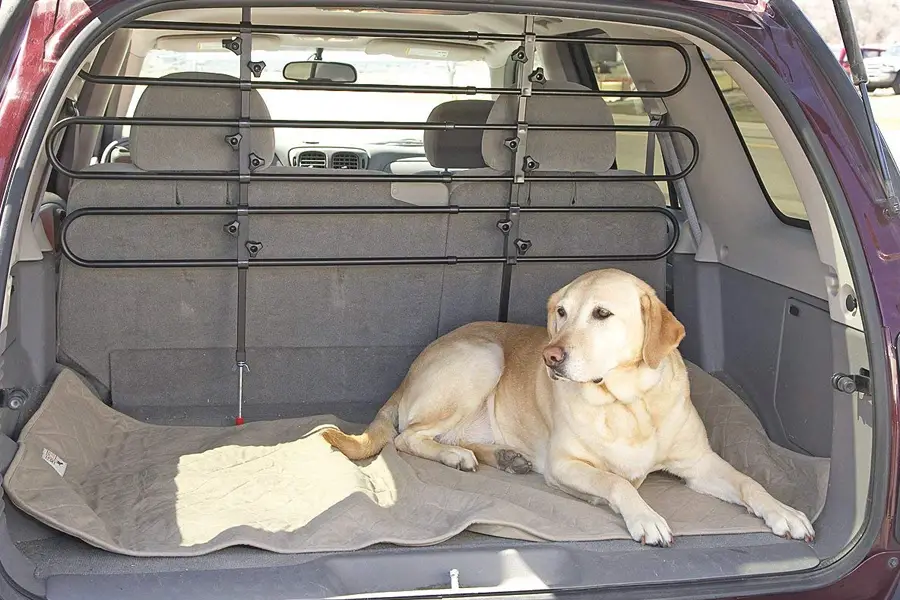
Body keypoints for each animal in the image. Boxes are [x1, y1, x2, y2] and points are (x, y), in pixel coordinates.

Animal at [326, 270, 816, 548]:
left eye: (602, 314)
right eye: (560, 312)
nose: (550, 356)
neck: (628, 403)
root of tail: (410, 371)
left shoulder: (700, 464)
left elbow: (749, 483)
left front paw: (785, 512)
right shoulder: (565, 465)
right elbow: (618, 483)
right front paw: (645, 517)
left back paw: (503, 457)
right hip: (483, 356)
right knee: (409, 437)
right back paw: (456, 455)